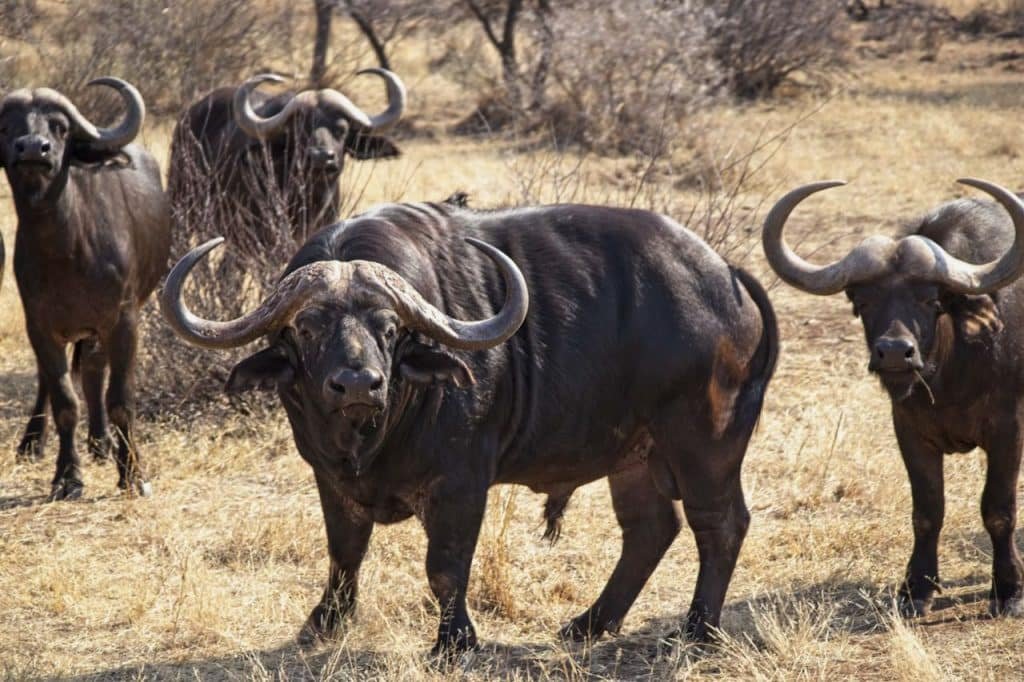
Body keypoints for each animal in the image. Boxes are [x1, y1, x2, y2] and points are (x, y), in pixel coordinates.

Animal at [0, 78, 169, 499]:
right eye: (5, 127)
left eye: (60, 127)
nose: (33, 148)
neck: (66, 248)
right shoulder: (40, 327)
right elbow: (64, 400)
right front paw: (66, 477)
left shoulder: (124, 321)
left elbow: (120, 399)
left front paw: (131, 474)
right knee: (59, 379)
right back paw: (34, 442)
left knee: (94, 371)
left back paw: (100, 443)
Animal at [163, 200, 778, 655]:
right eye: (307, 328)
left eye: (388, 328)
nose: (358, 384)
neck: (376, 433)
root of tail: (724, 274)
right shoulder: (329, 478)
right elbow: (344, 553)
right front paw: (323, 624)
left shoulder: (460, 483)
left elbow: (445, 565)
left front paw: (454, 642)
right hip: (634, 456)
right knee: (650, 529)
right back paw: (590, 622)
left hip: (703, 442)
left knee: (720, 523)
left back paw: (698, 629)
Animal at [765, 179, 1024, 614]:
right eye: (863, 300)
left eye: (931, 300)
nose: (893, 352)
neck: (949, 378)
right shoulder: (909, 430)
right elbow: (927, 510)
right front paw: (917, 588)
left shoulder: (1009, 430)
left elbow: (998, 509)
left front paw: (1008, 590)